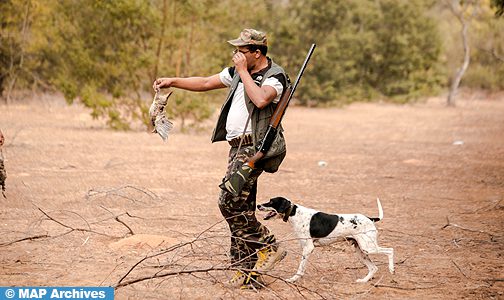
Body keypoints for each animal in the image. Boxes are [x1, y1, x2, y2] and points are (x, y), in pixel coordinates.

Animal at [258, 196, 396, 282]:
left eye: (271, 202)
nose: (258, 205)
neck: (294, 213)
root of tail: (370, 218)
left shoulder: (308, 248)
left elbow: (300, 268)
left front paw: (294, 279)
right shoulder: (305, 247)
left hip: (368, 248)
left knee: (390, 250)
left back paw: (392, 269)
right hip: (361, 251)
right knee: (373, 268)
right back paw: (363, 281)